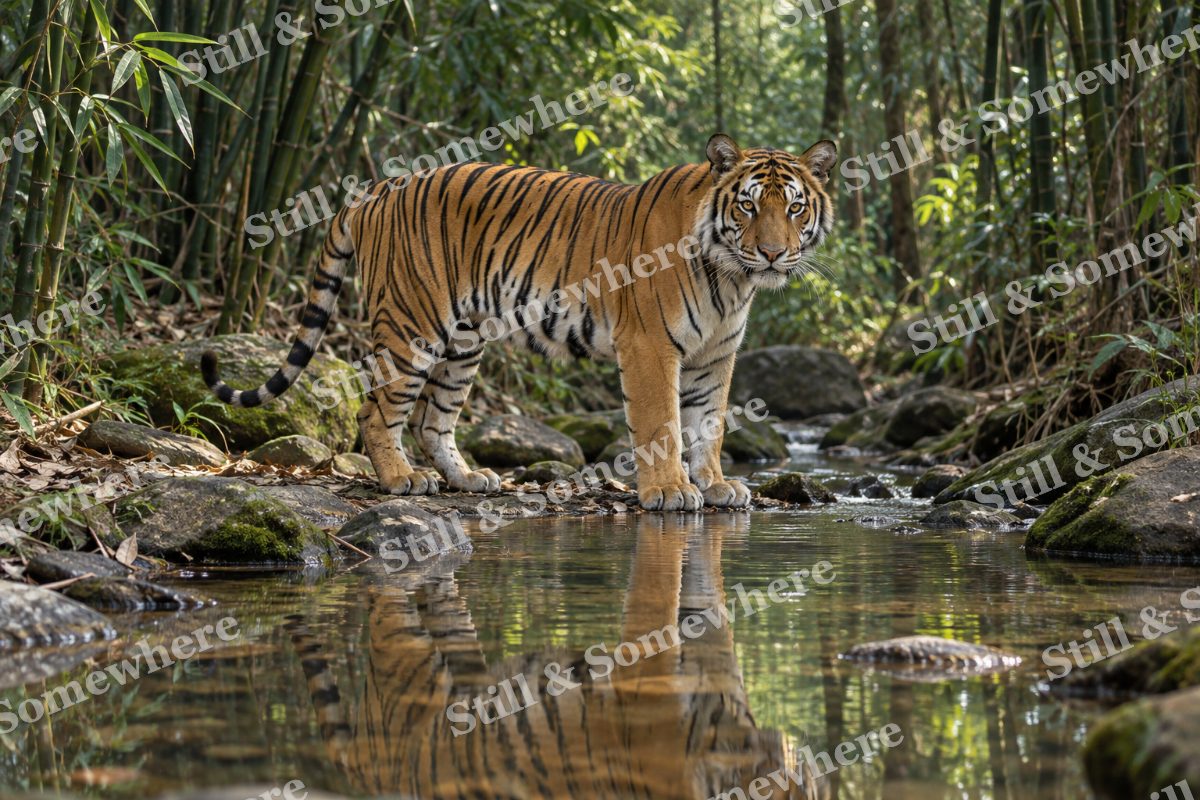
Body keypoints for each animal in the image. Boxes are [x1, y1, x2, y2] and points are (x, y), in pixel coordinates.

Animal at [202, 134, 837, 511]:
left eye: (795, 207)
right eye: (748, 205)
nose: (774, 253)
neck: (733, 278)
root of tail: (377, 186)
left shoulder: (715, 355)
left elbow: (709, 425)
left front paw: (716, 485)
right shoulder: (651, 348)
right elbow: (662, 424)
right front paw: (670, 492)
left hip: (463, 340)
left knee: (434, 421)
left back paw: (468, 479)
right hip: (411, 325)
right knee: (376, 410)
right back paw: (401, 480)